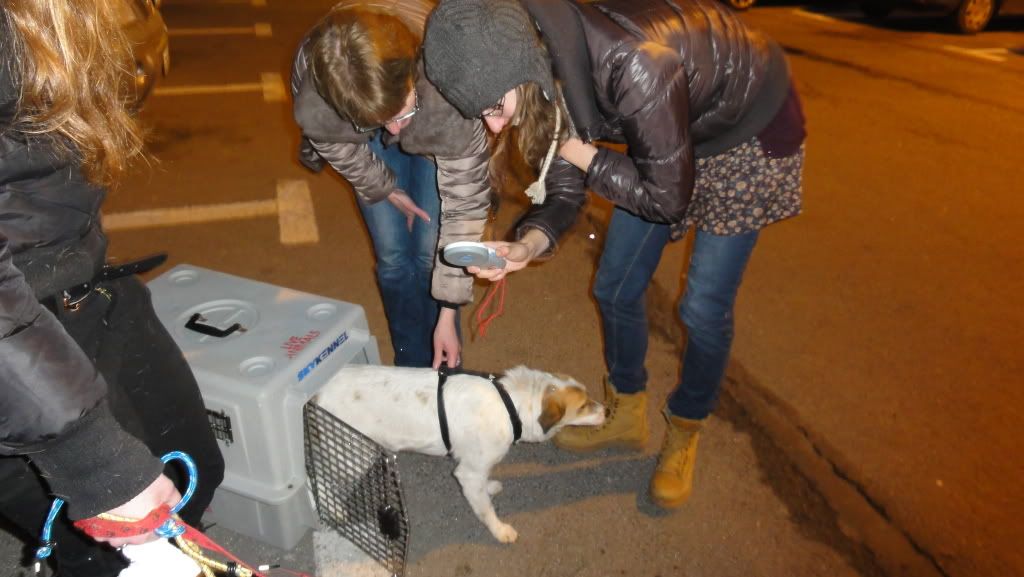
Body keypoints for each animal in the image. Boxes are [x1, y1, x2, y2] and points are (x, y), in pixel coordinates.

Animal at [311, 362, 598, 545]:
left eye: (588, 398)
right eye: (583, 406)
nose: (605, 411)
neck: (511, 405)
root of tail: (319, 393)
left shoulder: (475, 468)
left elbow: (484, 486)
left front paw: (490, 487)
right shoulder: (469, 473)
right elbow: (485, 509)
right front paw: (500, 530)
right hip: (352, 456)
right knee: (316, 476)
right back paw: (331, 507)